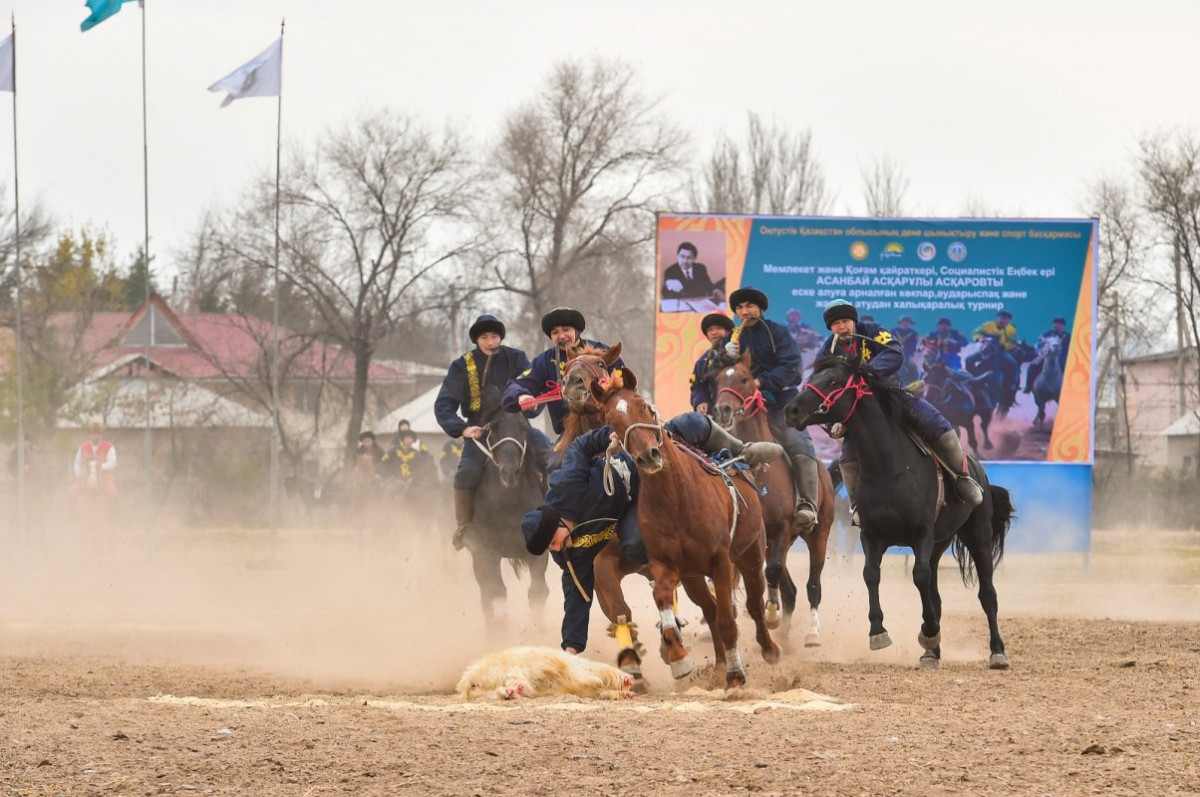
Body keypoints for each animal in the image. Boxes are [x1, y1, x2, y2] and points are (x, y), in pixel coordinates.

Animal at [460, 388, 549, 624]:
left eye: (523, 427)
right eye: (494, 427)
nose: (509, 472)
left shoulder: (539, 552)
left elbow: (538, 591)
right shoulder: (487, 552)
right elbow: (495, 592)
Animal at [705, 352, 830, 648]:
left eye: (744, 378)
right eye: (718, 379)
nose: (722, 410)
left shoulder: (781, 527)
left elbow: (770, 571)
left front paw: (771, 614)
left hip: (818, 535)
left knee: (812, 585)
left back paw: (812, 633)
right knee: (791, 590)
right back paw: (784, 634)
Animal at [782, 352, 1017, 667]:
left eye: (832, 380)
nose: (792, 410)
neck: (889, 469)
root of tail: (979, 469)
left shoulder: (922, 533)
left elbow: (918, 576)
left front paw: (927, 632)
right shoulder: (871, 535)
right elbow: (872, 574)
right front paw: (879, 632)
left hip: (977, 535)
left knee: (987, 594)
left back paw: (996, 652)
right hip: (939, 544)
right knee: (935, 592)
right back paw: (932, 653)